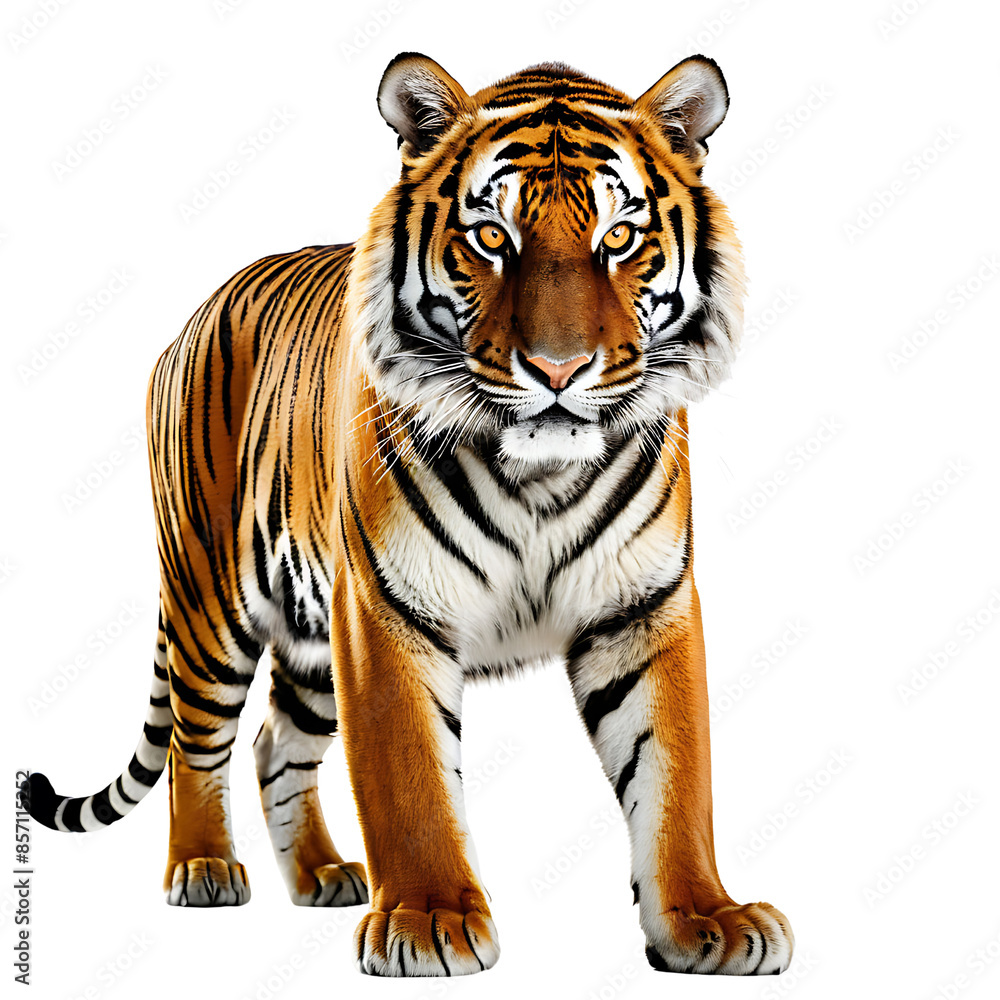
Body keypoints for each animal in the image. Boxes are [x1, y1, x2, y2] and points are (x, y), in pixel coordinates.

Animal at [22, 51, 794, 977]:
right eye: (492, 238)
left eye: (619, 240)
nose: (558, 369)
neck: (540, 475)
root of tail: (201, 308)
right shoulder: (386, 608)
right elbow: (409, 777)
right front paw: (428, 920)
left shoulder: (643, 607)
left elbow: (677, 776)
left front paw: (707, 918)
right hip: (210, 599)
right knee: (192, 740)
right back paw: (205, 867)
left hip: (310, 640)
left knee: (276, 743)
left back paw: (321, 875)